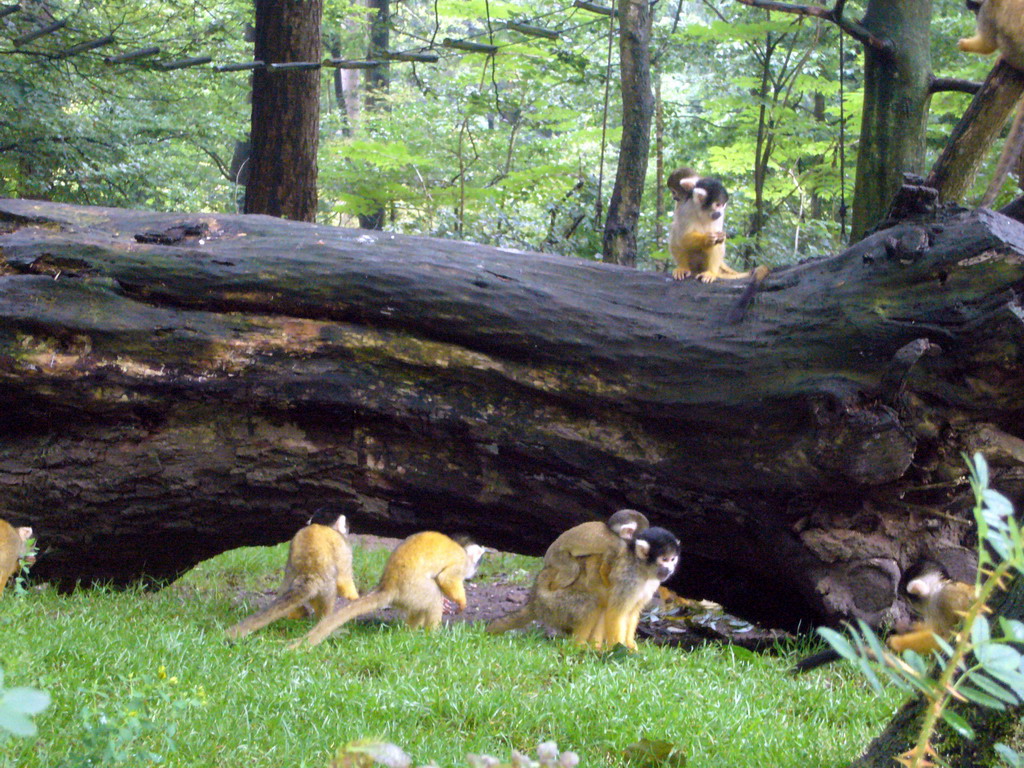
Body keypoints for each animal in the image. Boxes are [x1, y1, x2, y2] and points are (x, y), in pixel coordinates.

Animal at [225, 518, 360, 643]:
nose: (348, 529)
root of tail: (308, 574)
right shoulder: (343, 548)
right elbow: (344, 578)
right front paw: (355, 597)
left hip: (292, 575)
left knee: (286, 587)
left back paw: (296, 614)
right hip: (326, 583)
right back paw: (323, 622)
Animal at [294, 528, 485, 651]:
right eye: (476, 563)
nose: (474, 572)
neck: (460, 548)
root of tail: (388, 585)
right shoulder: (460, 562)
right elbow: (445, 578)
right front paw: (461, 602)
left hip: (410, 595)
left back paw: (411, 633)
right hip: (412, 588)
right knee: (432, 595)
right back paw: (432, 634)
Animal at [954, 0, 1024, 207]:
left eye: (973, 6)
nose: (971, 9)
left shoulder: (987, 10)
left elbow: (988, 45)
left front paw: (966, 44)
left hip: (1015, 50)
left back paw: (1005, 59)